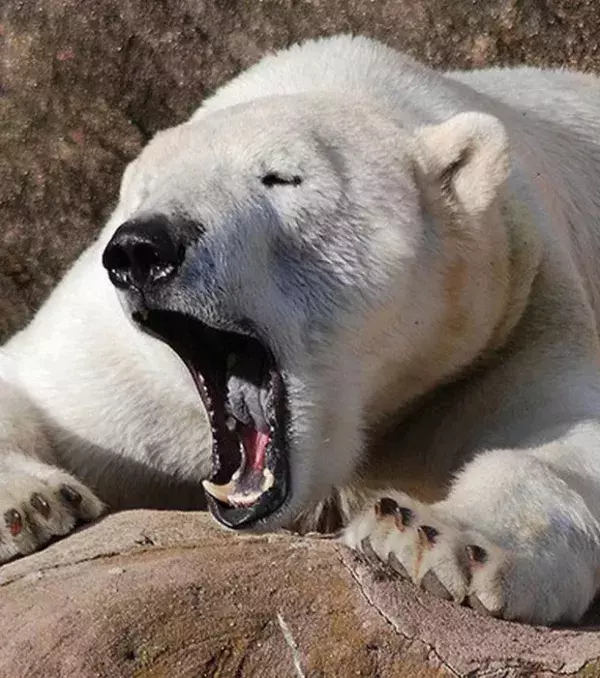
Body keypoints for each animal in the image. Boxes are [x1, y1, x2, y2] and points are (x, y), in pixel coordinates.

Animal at [2, 34, 600, 625]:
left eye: (282, 177)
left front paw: (432, 536)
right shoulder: (125, 370)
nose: (142, 249)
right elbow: (36, 387)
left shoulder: (509, 318)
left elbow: (561, 432)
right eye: (143, 192)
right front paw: (34, 504)